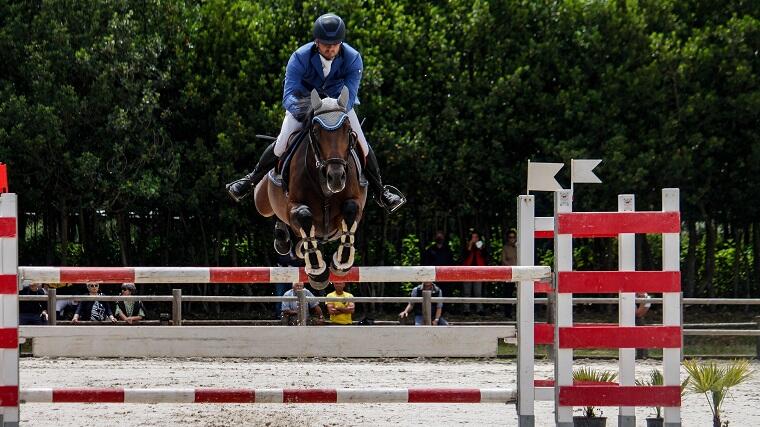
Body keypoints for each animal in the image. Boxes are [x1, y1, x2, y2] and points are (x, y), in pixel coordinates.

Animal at [254, 86, 370, 290]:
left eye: (348, 130)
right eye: (315, 132)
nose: (336, 177)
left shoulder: (355, 203)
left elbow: (350, 211)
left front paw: (341, 262)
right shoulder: (294, 207)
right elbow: (303, 216)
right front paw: (318, 272)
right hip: (261, 201)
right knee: (272, 212)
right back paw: (282, 239)